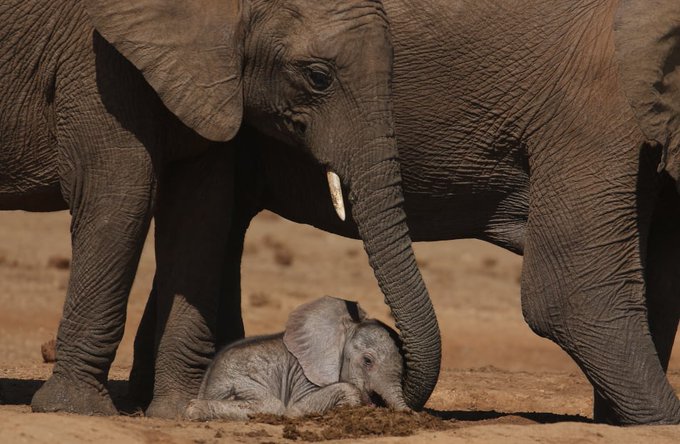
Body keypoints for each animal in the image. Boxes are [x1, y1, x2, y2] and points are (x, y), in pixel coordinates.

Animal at [184, 296, 406, 421]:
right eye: (367, 361)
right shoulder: (304, 375)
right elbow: (297, 407)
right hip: (239, 382)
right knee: (272, 406)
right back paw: (192, 410)